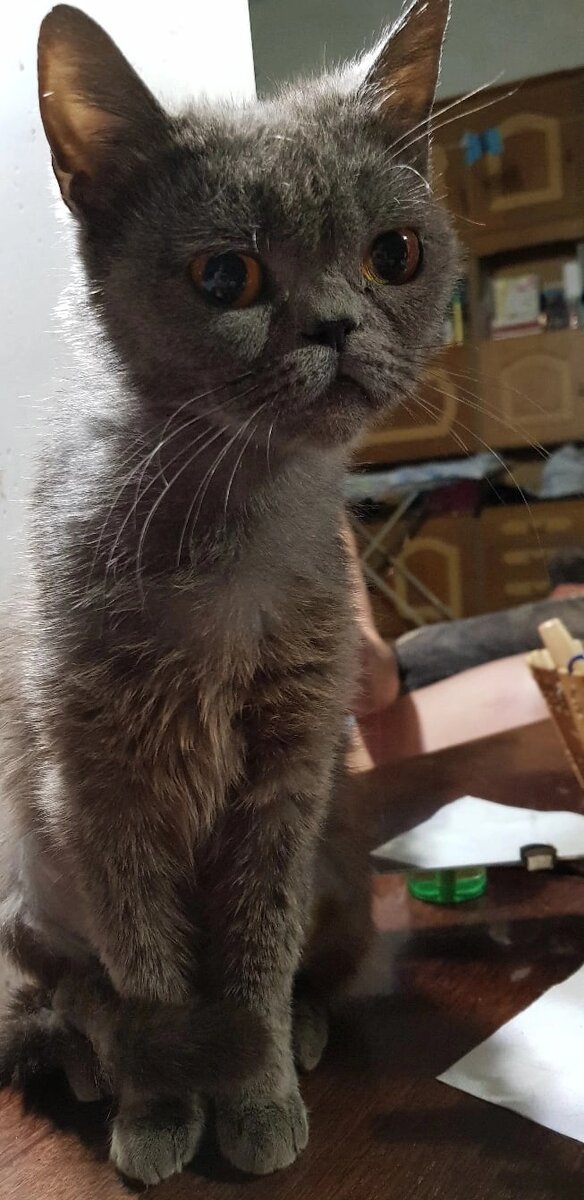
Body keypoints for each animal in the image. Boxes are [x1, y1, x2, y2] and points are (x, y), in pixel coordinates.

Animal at [0, 0, 457, 1185]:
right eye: (225, 280)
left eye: (393, 254)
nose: (337, 324)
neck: (232, 532)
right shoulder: (99, 790)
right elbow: (150, 968)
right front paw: (164, 1109)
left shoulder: (286, 775)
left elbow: (256, 955)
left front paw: (254, 1096)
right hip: (25, 884)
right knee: (70, 995)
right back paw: (94, 1063)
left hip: (342, 849)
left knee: (323, 967)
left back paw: (300, 1036)